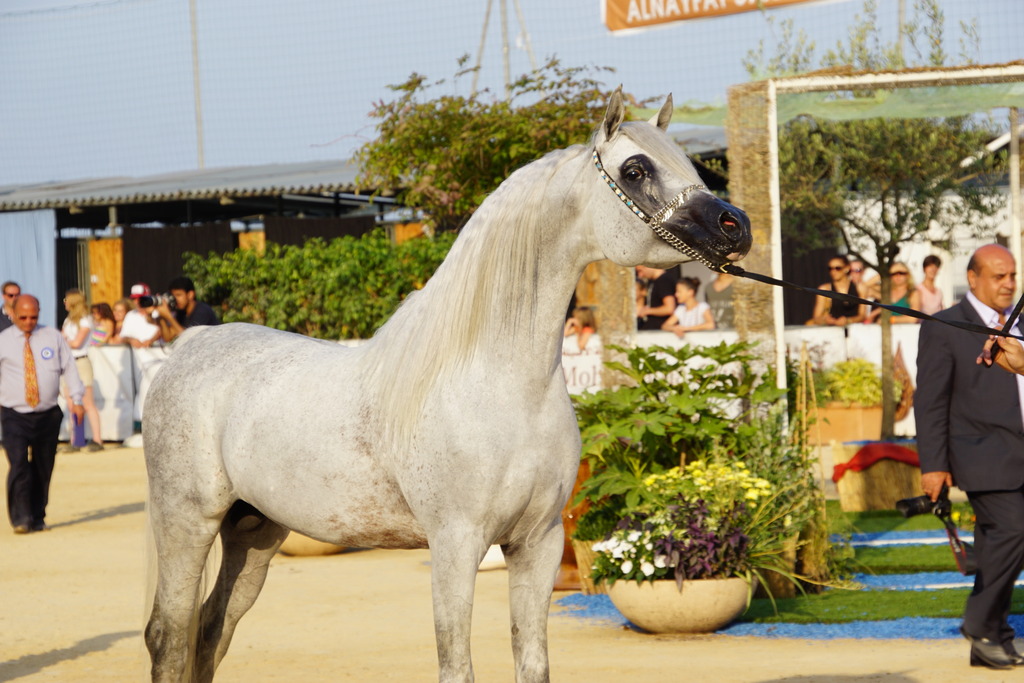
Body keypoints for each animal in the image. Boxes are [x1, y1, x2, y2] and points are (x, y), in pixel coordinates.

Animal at [142, 89, 752, 683]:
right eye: (635, 169)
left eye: (687, 162)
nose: (737, 226)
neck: (501, 388)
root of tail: (191, 342)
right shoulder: (455, 545)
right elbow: (455, 666)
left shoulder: (538, 544)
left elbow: (532, 663)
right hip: (187, 524)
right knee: (169, 639)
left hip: (254, 533)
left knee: (210, 634)